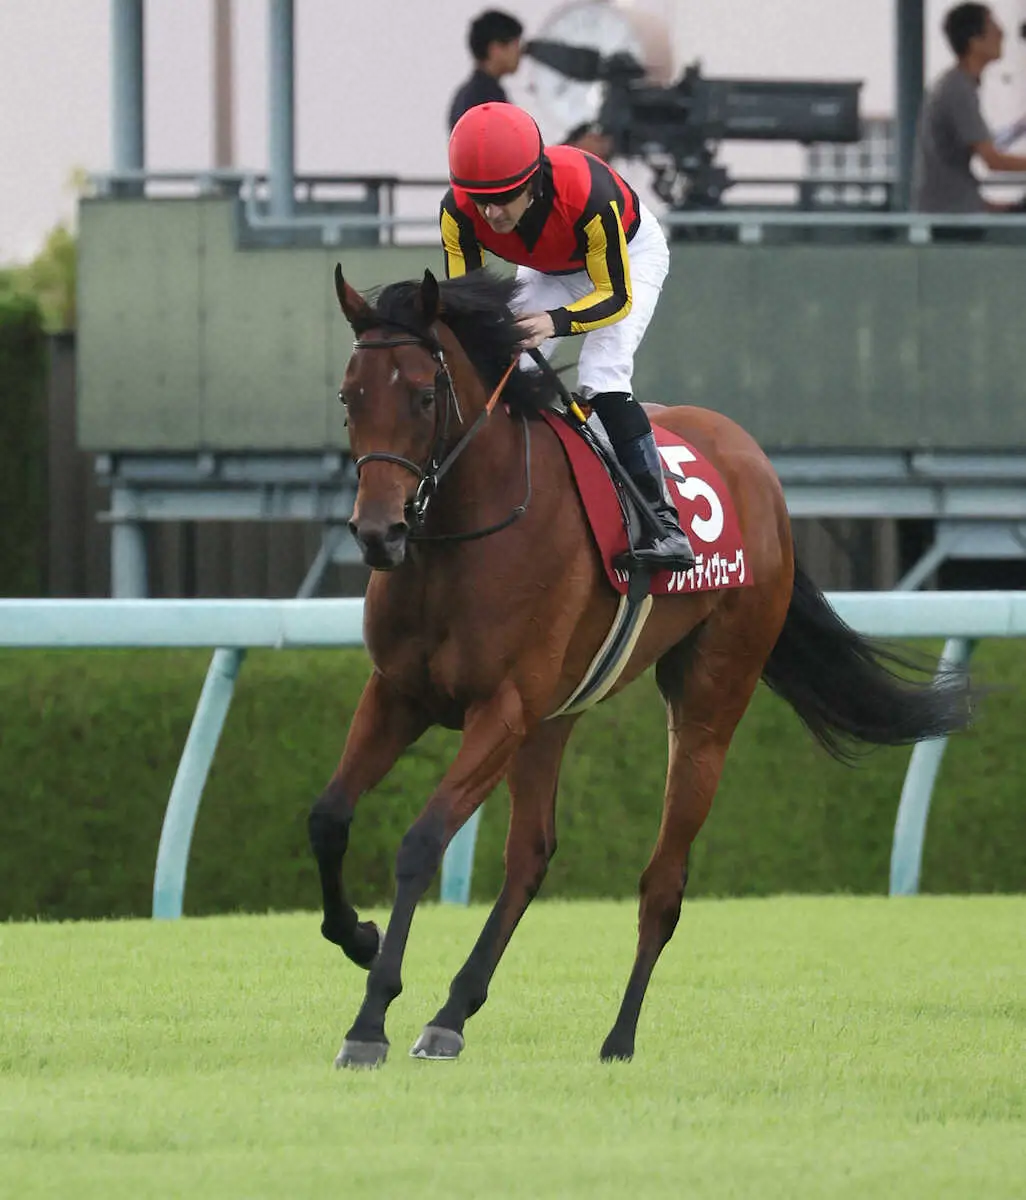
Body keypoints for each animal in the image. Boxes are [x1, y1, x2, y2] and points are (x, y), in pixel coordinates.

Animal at [307, 263, 971, 1069]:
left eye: (424, 396)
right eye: (351, 396)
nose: (379, 533)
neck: (461, 536)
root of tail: (758, 467)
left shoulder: (500, 708)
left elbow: (421, 843)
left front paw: (370, 1017)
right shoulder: (400, 694)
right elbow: (329, 818)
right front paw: (359, 937)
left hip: (708, 699)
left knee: (663, 881)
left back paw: (618, 1035)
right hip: (555, 716)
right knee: (531, 853)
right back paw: (453, 1012)